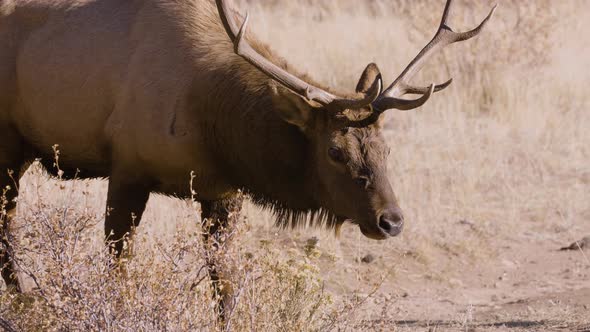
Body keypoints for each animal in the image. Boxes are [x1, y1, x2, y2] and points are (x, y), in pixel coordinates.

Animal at [0, 0, 498, 316]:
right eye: (335, 151)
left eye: (386, 148)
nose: (390, 220)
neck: (211, 125)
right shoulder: (127, 169)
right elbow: (118, 273)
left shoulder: (224, 192)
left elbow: (225, 283)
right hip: (8, 145)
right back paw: (25, 301)